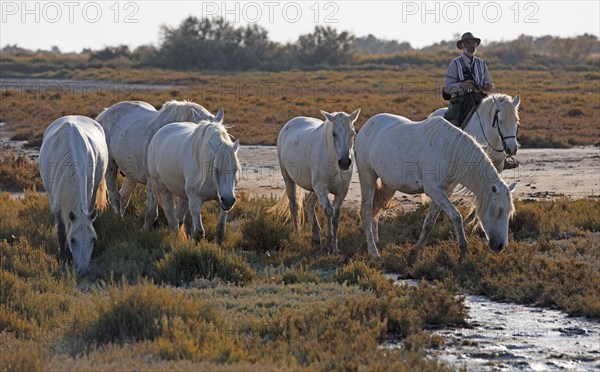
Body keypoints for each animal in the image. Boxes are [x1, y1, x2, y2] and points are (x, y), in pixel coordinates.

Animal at [268, 107, 360, 253]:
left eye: (353, 133)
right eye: (333, 134)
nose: (345, 162)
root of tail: (291, 122)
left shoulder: (342, 191)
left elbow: (336, 217)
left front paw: (335, 247)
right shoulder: (321, 187)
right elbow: (329, 211)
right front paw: (328, 243)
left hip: (314, 188)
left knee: (309, 204)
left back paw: (316, 236)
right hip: (289, 180)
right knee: (294, 206)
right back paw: (297, 234)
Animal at [356, 113, 516, 258]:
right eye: (497, 211)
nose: (500, 246)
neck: (449, 151)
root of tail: (366, 126)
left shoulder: (444, 192)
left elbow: (429, 223)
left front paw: (418, 251)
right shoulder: (434, 190)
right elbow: (456, 216)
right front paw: (463, 250)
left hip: (389, 185)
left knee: (376, 209)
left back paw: (374, 243)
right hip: (367, 177)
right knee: (366, 213)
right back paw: (374, 253)